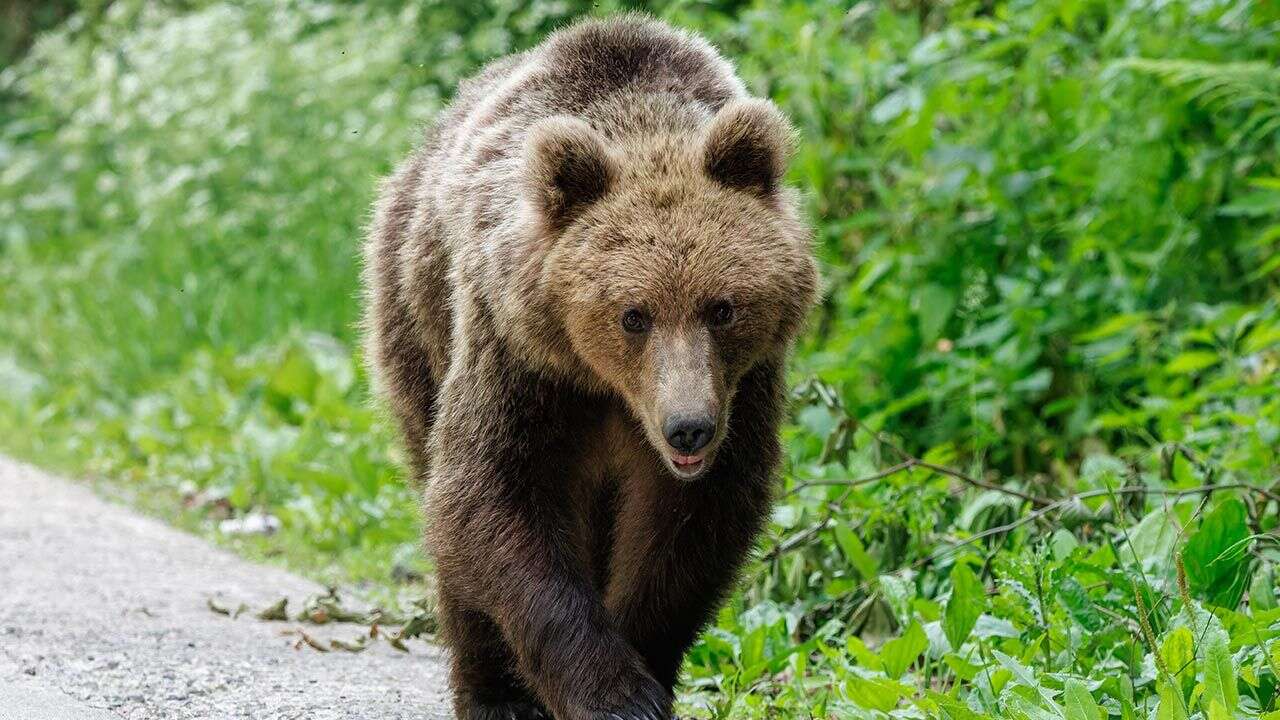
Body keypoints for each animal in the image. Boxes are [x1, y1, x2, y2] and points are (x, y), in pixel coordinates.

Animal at [366, 12, 814, 717]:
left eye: (722, 307)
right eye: (634, 314)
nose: (689, 428)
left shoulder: (744, 390)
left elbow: (690, 527)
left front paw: (644, 665)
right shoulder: (519, 361)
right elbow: (491, 494)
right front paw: (614, 692)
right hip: (415, 321)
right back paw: (491, 691)